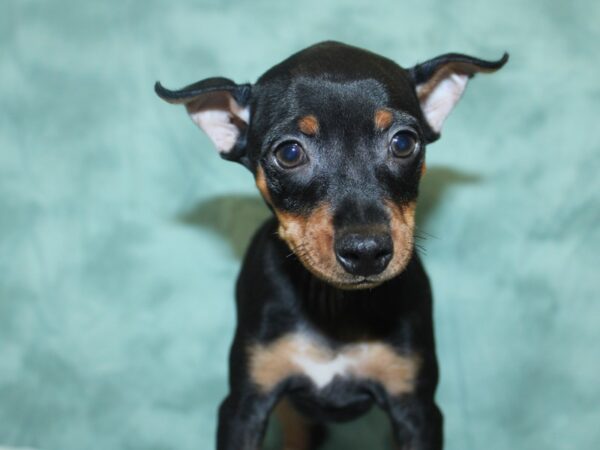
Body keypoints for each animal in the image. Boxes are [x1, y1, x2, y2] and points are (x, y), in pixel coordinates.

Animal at [155, 41, 506, 450]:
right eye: (289, 153)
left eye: (404, 142)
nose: (366, 252)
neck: (334, 306)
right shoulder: (243, 406)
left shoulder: (418, 409)